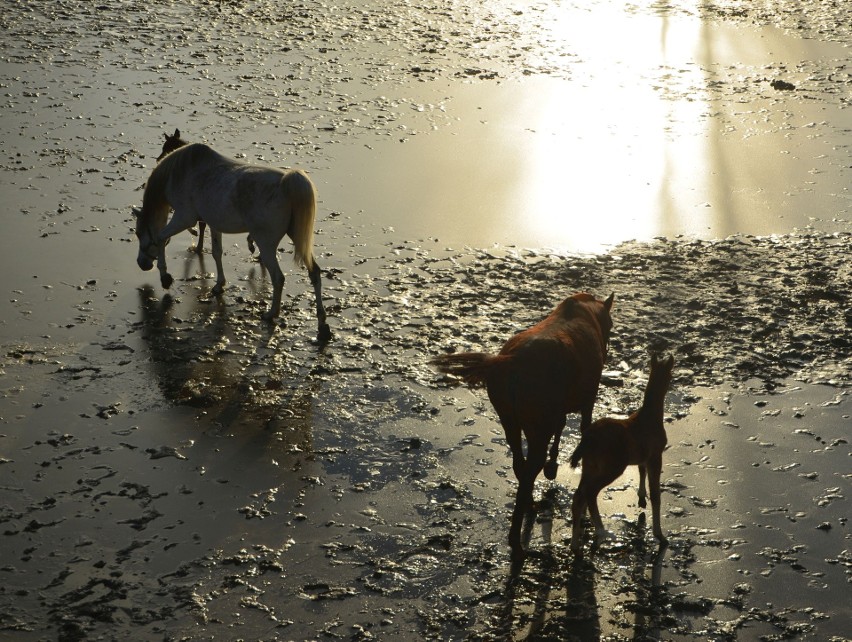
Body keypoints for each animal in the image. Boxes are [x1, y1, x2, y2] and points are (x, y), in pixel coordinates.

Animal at [135, 140, 332, 340]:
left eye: (138, 233)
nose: (141, 263)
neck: (178, 173)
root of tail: (288, 184)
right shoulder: (213, 223)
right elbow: (216, 252)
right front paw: (219, 285)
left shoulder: (184, 218)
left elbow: (160, 237)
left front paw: (165, 277)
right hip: (297, 236)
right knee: (314, 272)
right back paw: (322, 323)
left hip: (266, 244)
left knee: (278, 278)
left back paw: (271, 314)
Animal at [432, 290, 612, 556]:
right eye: (610, 325)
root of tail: (511, 360)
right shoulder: (587, 401)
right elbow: (580, 428)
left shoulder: (556, 411)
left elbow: (561, 426)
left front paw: (553, 464)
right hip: (537, 430)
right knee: (528, 471)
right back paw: (517, 538)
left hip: (510, 422)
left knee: (519, 463)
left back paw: (531, 505)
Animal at [568, 350, 676, 556]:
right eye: (671, 373)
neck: (651, 417)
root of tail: (588, 439)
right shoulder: (655, 455)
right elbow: (656, 494)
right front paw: (660, 536)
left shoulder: (643, 457)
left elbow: (641, 472)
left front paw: (641, 500)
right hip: (612, 466)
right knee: (590, 491)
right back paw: (601, 532)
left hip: (589, 464)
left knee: (578, 496)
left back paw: (576, 546)